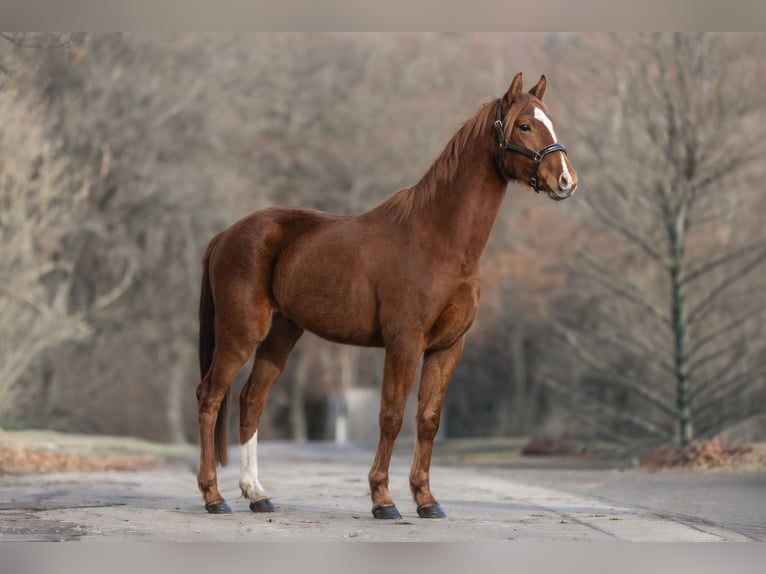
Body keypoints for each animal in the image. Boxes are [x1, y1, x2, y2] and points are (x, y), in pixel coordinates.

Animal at [196, 72, 578, 518]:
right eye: (525, 125)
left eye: (551, 121)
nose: (566, 180)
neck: (439, 238)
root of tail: (226, 234)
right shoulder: (404, 342)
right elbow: (391, 416)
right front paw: (383, 500)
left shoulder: (448, 347)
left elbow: (428, 419)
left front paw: (427, 501)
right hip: (241, 333)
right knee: (210, 396)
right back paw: (214, 496)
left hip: (281, 335)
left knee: (251, 400)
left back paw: (257, 494)